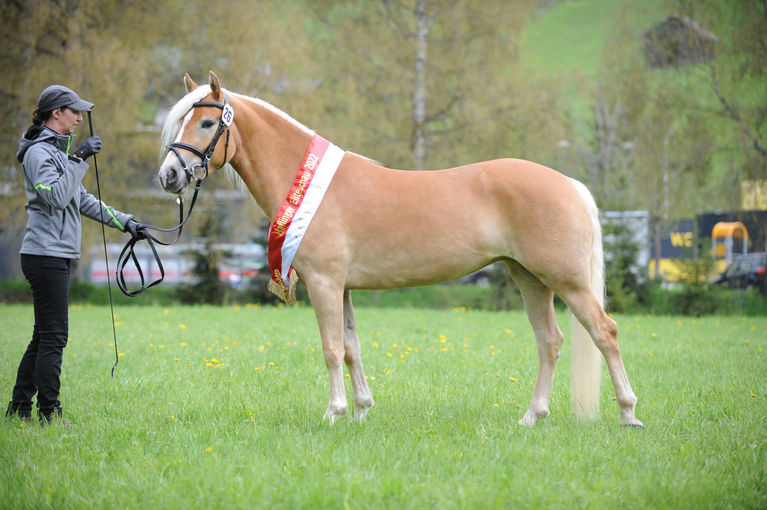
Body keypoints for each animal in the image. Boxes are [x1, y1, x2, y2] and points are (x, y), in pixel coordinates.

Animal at [159, 71, 644, 428]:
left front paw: (334, 413)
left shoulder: (324, 284)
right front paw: (360, 411)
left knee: (604, 332)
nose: (168, 176)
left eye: (206, 123)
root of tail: (570, 184)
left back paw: (627, 414)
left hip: (566, 280)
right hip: (529, 278)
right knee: (550, 341)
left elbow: (331, 348)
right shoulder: (343, 288)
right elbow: (351, 347)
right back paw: (532, 416)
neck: (312, 185)